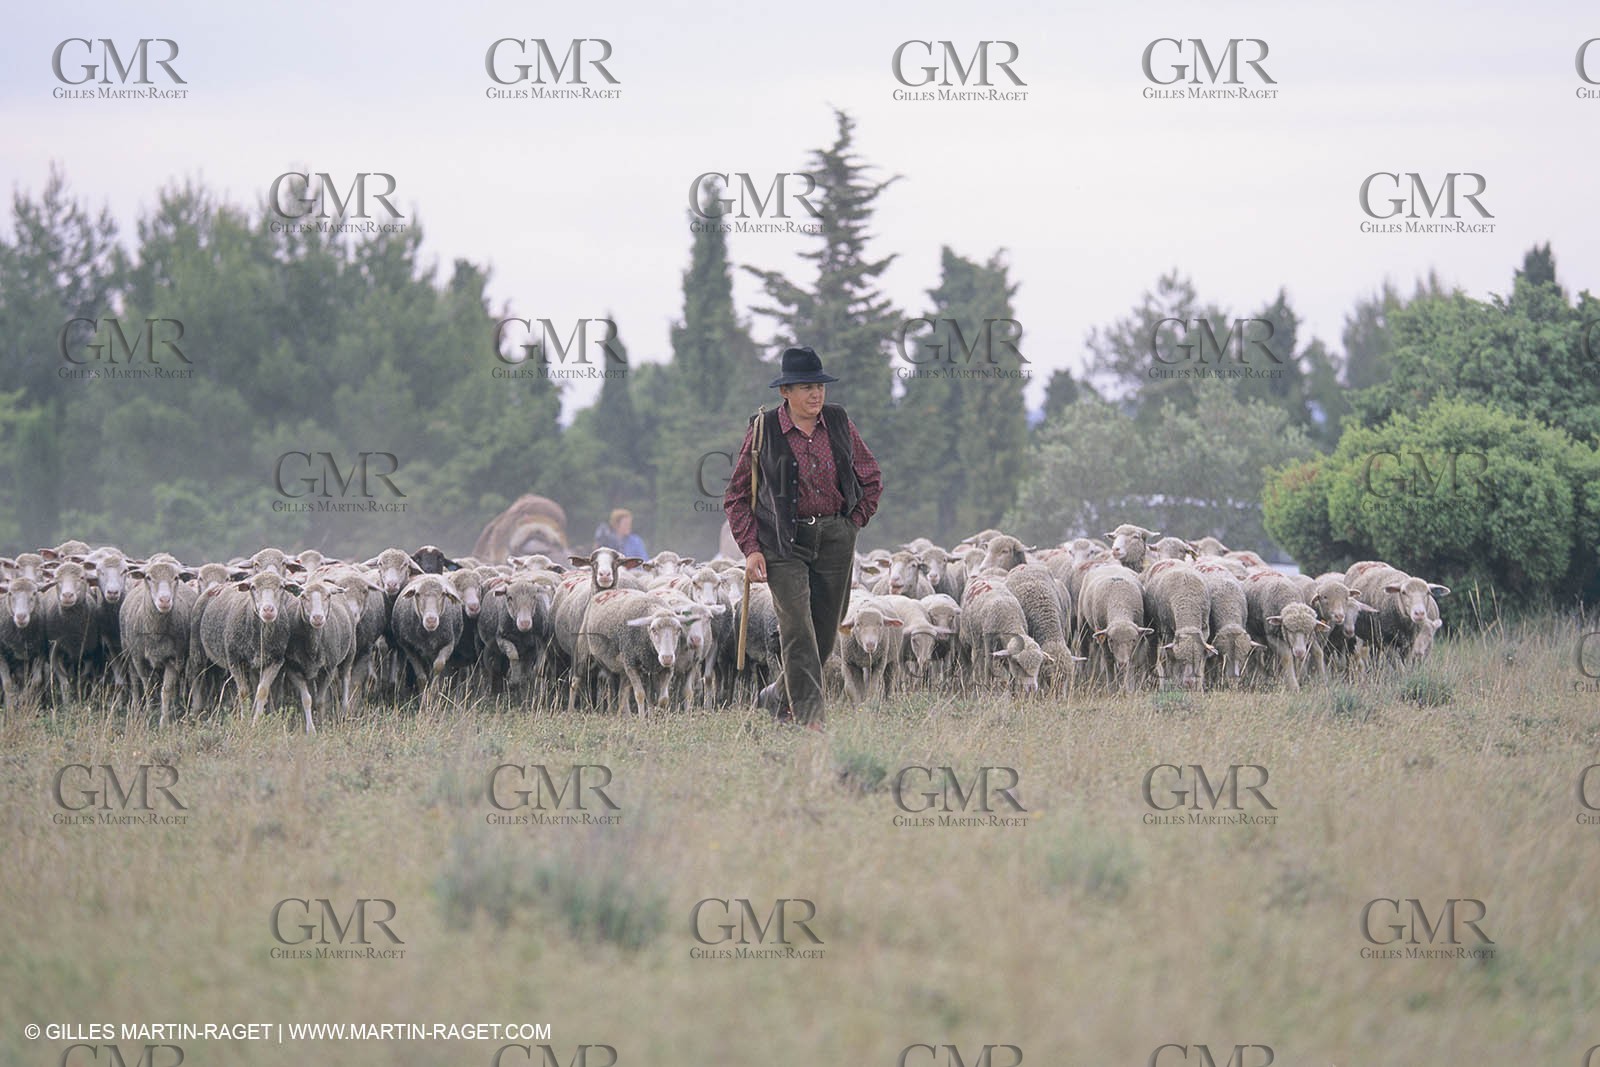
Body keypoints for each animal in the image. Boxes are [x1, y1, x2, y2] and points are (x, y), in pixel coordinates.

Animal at [119, 556, 198, 726]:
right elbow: (147, 686)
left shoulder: (174, 659)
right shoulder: (139, 658)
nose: (164, 600)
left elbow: (166, 690)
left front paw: (164, 721)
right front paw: (149, 714)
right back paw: (136, 709)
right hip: (128, 652)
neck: (156, 633)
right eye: (148, 577)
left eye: (176, 578)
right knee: (134, 681)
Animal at [1077, 564, 1153, 693]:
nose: (1122, 663)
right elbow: (1109, 661)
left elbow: (1132, 660)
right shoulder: (1104, 638)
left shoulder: (1138, 641)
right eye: (1111, 640)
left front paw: (1129, 688)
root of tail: (1107, 564)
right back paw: (1085, 679)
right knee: (1084, 650)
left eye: (1133, 640)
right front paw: (1112, 688)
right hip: (1083, 622)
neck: (1119, 602)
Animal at [1140, 560, 1216, 691]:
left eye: (1197, 659)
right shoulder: (1167, 631)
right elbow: (1169, 659)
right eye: (1180, 661)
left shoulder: (1205, 629)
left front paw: (1199, 687)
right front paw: (1173, 682)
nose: (1189, 683)